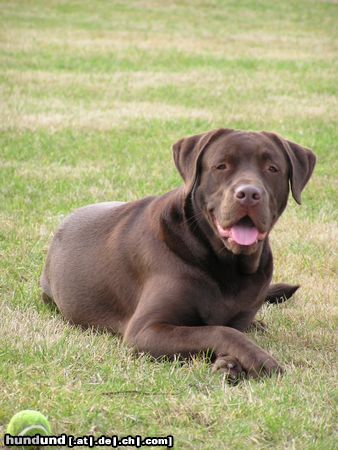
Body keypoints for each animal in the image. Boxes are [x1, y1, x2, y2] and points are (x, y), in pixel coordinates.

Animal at [41, 130, 316, 380]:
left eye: (272, 168)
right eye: (221, 166)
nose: (248, 193)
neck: (226, 264)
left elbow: (230, 329)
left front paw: (231, 363)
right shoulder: (145, 331)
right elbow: (218, 331)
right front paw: (256, 359)